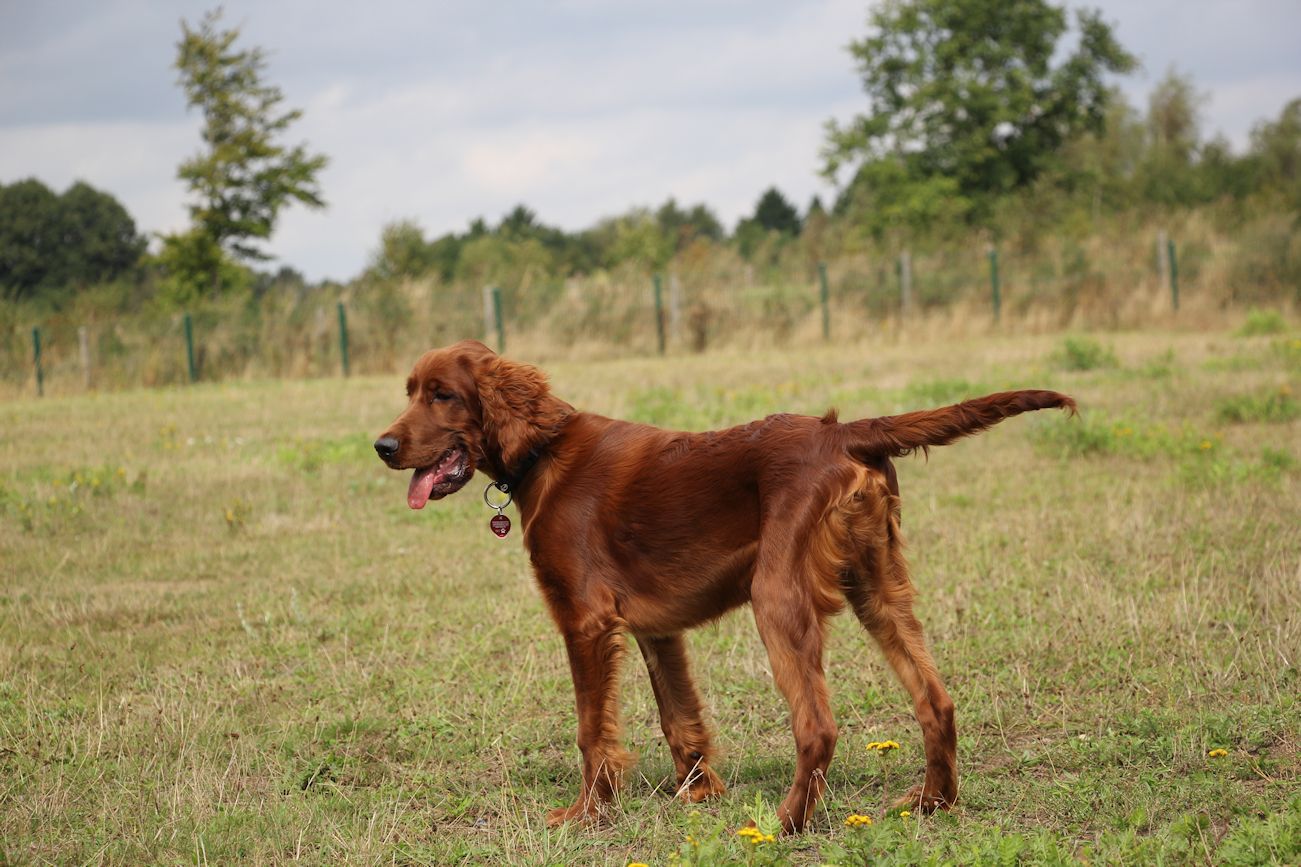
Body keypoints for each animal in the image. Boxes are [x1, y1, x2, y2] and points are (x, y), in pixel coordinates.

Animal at [372, 338, 1072, 833]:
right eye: (410, 391)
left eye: (442, 394)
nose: (382, 445)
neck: (543, 453)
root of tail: (842, 431)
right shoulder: (656, 630)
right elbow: (678, 717)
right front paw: (698, 794)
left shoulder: (586, 621)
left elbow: (592, 730)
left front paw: (586, 814)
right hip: (877, 588)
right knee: (936, 699)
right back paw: (933, 802)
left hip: (777, 595)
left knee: (818, 725)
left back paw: (786, 824)